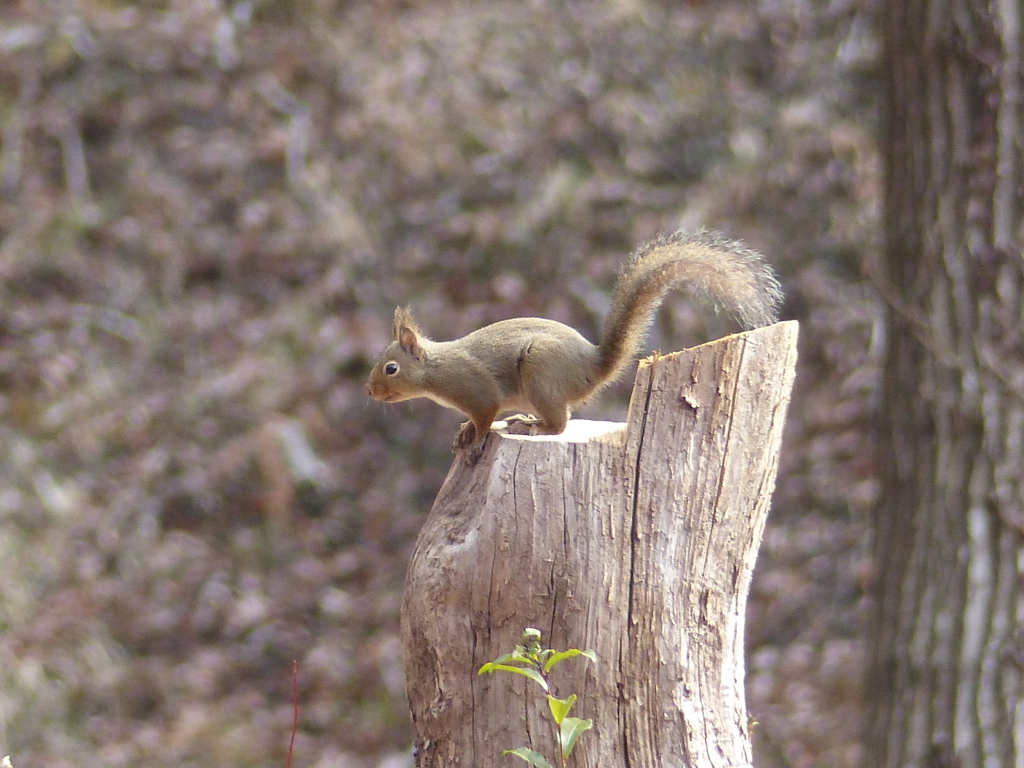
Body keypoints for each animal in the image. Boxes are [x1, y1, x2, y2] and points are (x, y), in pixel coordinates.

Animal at [368, 231, 782, 460]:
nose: (370, 391)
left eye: (391, 368)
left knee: (560, 424)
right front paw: (463, 432)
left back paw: (531, 425)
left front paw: (476, 440)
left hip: (540, 372)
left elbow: (485, 416)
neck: (436, 369)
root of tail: (592, 367)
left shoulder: (477, 390)